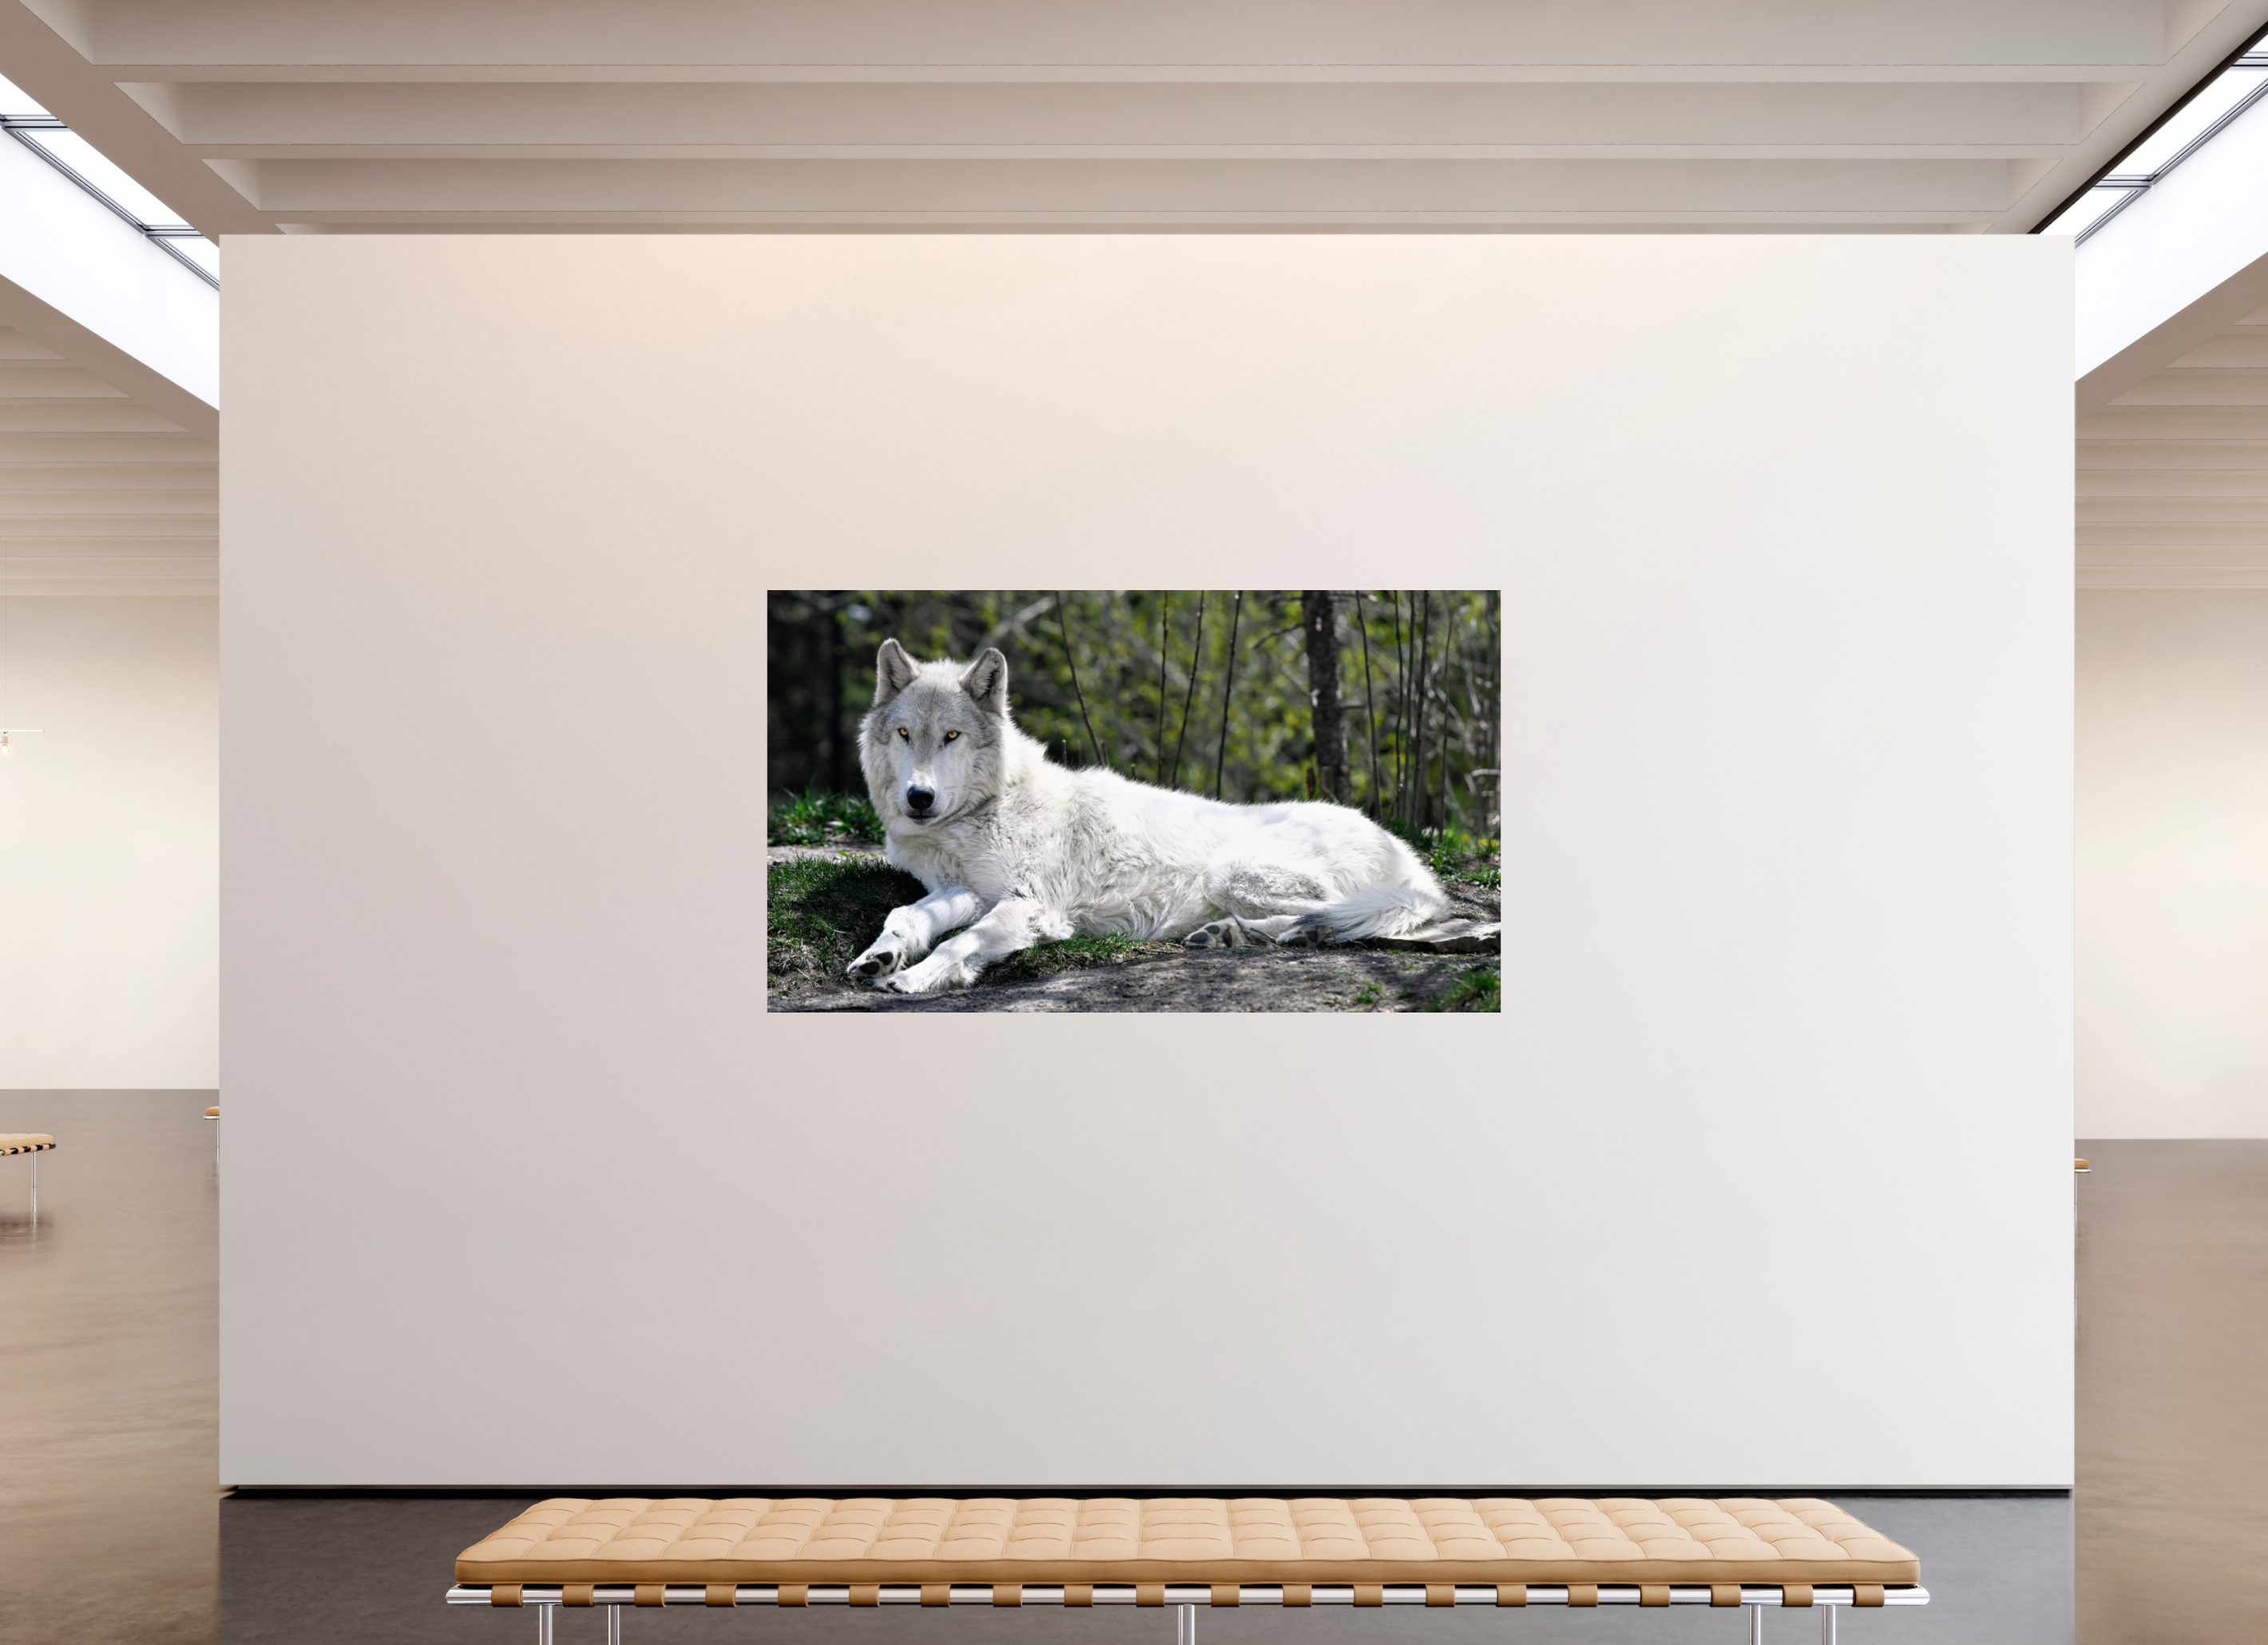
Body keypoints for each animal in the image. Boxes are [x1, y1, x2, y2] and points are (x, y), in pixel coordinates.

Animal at [845, 637, 1453, 993]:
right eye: (905, 734)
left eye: (952, 736)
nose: (918, 798)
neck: (985, 812)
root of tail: (1411, 859)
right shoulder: (965, 890)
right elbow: (906, 914)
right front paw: (880, 955)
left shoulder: (1033, 906)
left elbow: (959, 942)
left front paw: (917, 977)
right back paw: (1229, 936)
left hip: (1234, 873)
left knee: (1347, 915)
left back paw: (1256, 934)